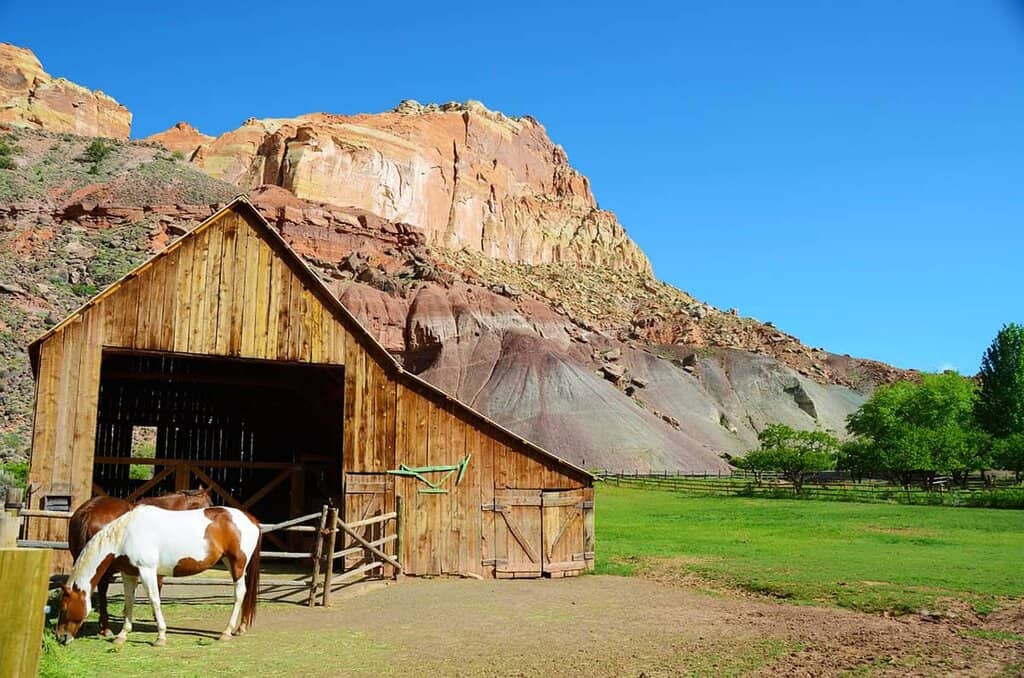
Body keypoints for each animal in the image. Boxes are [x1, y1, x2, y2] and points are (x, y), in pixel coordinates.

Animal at [56, 505, 261, 647]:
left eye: (64, 608)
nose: (60, 637)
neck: (126, 535)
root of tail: (251, 519)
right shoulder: (129, 574)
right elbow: (129, 603)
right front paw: (122, 635)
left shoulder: (147, 571)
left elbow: (154, 601)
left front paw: (160, 637)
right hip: (229, 562)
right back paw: (240, 628)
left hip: (237, 564)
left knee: (239, 594)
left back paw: (226, 632)